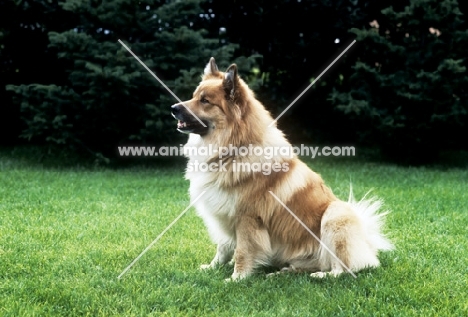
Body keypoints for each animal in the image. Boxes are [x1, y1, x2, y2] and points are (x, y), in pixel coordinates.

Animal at [170, 56, 394, 278]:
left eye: (205, 101)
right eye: (193, 96)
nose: (173, 108)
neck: (233, 151)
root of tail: (367, 244)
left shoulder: (247, 218)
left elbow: (243, 251)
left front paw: (237, 278)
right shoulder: (224, 215)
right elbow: (223, 247)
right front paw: (213, 267)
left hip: (336, 214)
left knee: (344, 267)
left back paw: (322, 275)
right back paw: (284, 272)